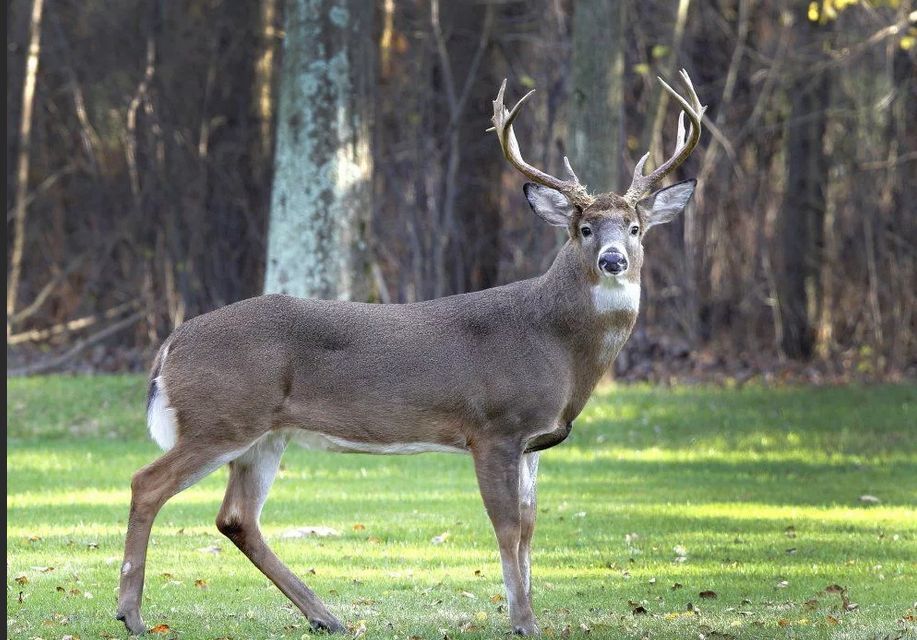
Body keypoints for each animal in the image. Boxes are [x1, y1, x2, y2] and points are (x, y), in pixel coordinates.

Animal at [116, 69, 705, 636]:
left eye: (635, 228)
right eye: (583, 228)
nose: (613, 260)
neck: (557, 344)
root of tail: (170, 345)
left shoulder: (533, 441)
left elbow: (531, 527)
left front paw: (529, 613)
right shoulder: (493, 427)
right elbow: (507, 526)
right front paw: (522, 622)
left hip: (263, 436)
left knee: (236, 517)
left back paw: (325, 616)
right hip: (222, 417)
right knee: (147, 483)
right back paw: (132, 615)